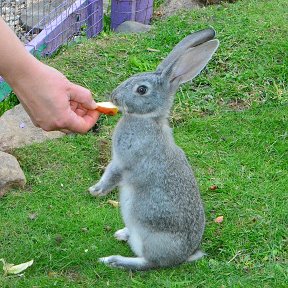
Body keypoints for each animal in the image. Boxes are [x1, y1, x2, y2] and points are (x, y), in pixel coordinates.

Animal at [89, 28, 219, 272]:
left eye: (142, 90)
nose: (114, 96)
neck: (146, 119)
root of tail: (185, 256)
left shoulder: (125, 161)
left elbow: (112, 176)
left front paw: (96, 190)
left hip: (148, 236)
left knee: (149, 262)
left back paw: (114, 260)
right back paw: (122, 234)